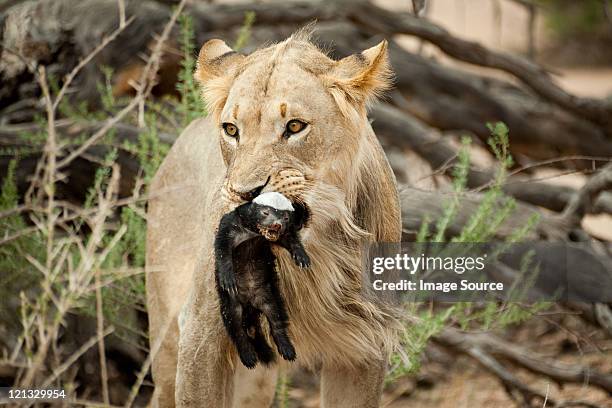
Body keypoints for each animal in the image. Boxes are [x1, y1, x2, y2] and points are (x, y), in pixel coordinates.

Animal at [146, 29, 404, 408]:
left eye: (294, 126)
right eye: (231, 130)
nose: (244, 193)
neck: (315, 248)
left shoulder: (365, 344)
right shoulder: (201, 334)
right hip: (166, 338)